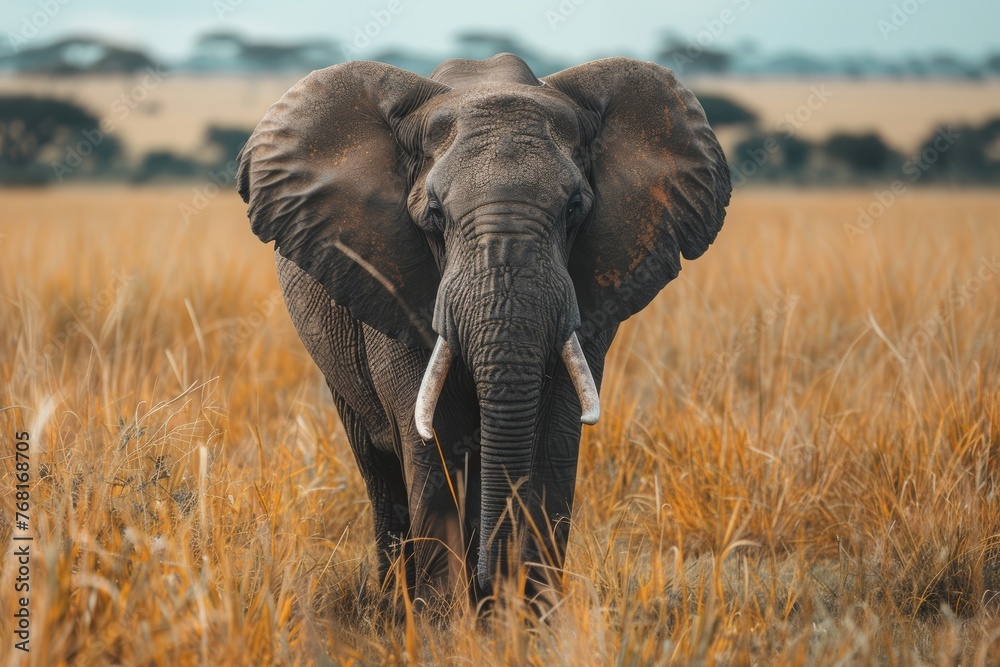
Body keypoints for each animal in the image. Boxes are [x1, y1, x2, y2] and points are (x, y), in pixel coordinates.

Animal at [237, 53, 730, 611]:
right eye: (434, 214)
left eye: (574, 209)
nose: (491, 582)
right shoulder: (392, 279)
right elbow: (432, 439)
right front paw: (443, 619)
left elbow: (555, 437)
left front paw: (532, 613)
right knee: (378, 467)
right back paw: (396, 602)